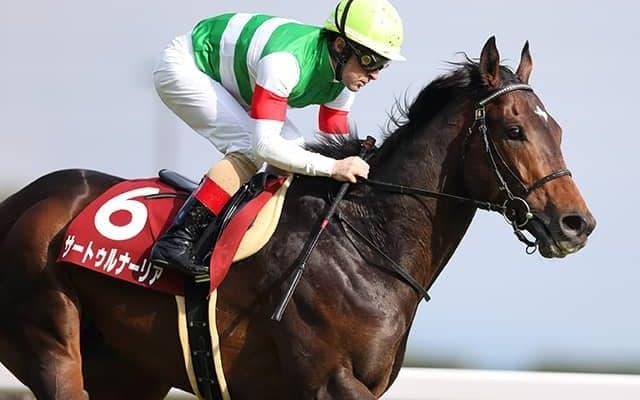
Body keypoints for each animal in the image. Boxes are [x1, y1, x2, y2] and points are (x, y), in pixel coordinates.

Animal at [0, 36, 595, 399]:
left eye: (558, 129)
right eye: (514, 131)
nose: (576, 224)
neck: (365, 245)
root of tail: (19, 203)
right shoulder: (328, 381)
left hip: (130, 372)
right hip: (52, 346)